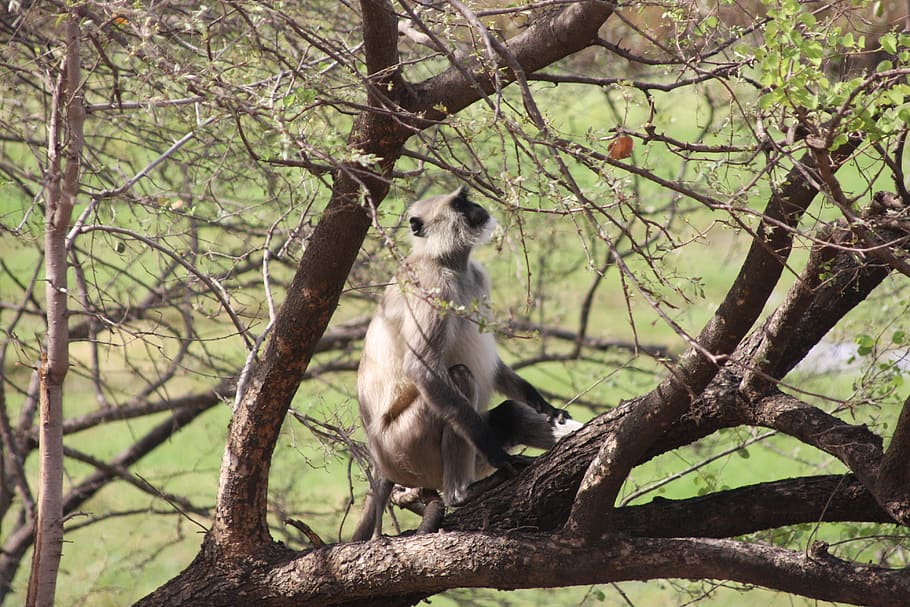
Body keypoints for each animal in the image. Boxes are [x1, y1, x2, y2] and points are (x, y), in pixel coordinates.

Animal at [352, 186, 582, 541]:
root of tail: (380, 458)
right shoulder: (430, 286)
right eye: (460, 204)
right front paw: (500, 458)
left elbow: (498, 368)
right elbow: (422, 369)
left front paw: (546, 406)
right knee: (459, 377)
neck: (448, 262)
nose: (477, 207)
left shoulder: (478, 275)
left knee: (509, 414)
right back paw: (462, 492)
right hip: (408, 450)